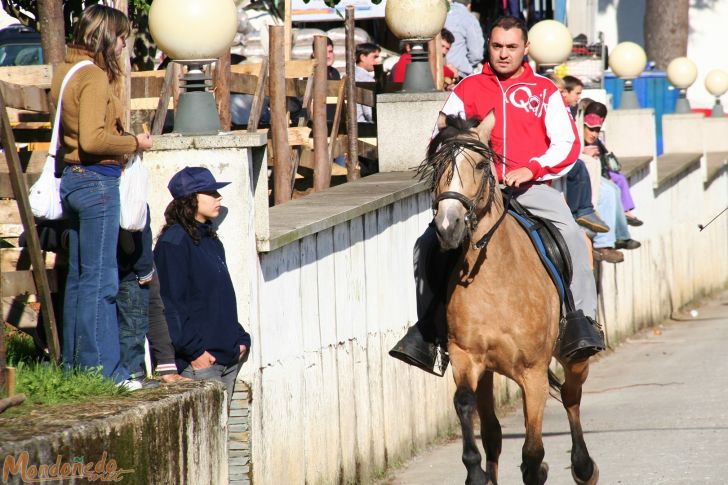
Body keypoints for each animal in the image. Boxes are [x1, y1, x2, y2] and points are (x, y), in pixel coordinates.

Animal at [424, 114, 600, 484]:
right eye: (437, 165)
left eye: (479, 164)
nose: (448, 226)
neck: (496, 281)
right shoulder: (466, 359)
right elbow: (465, 405)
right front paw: (475, 471)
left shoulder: (533, 374)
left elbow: (533, 454)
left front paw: (543, 466)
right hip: (489, 372)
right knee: (493, 432)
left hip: (574, 357)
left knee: (571, 396)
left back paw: (583, 465)